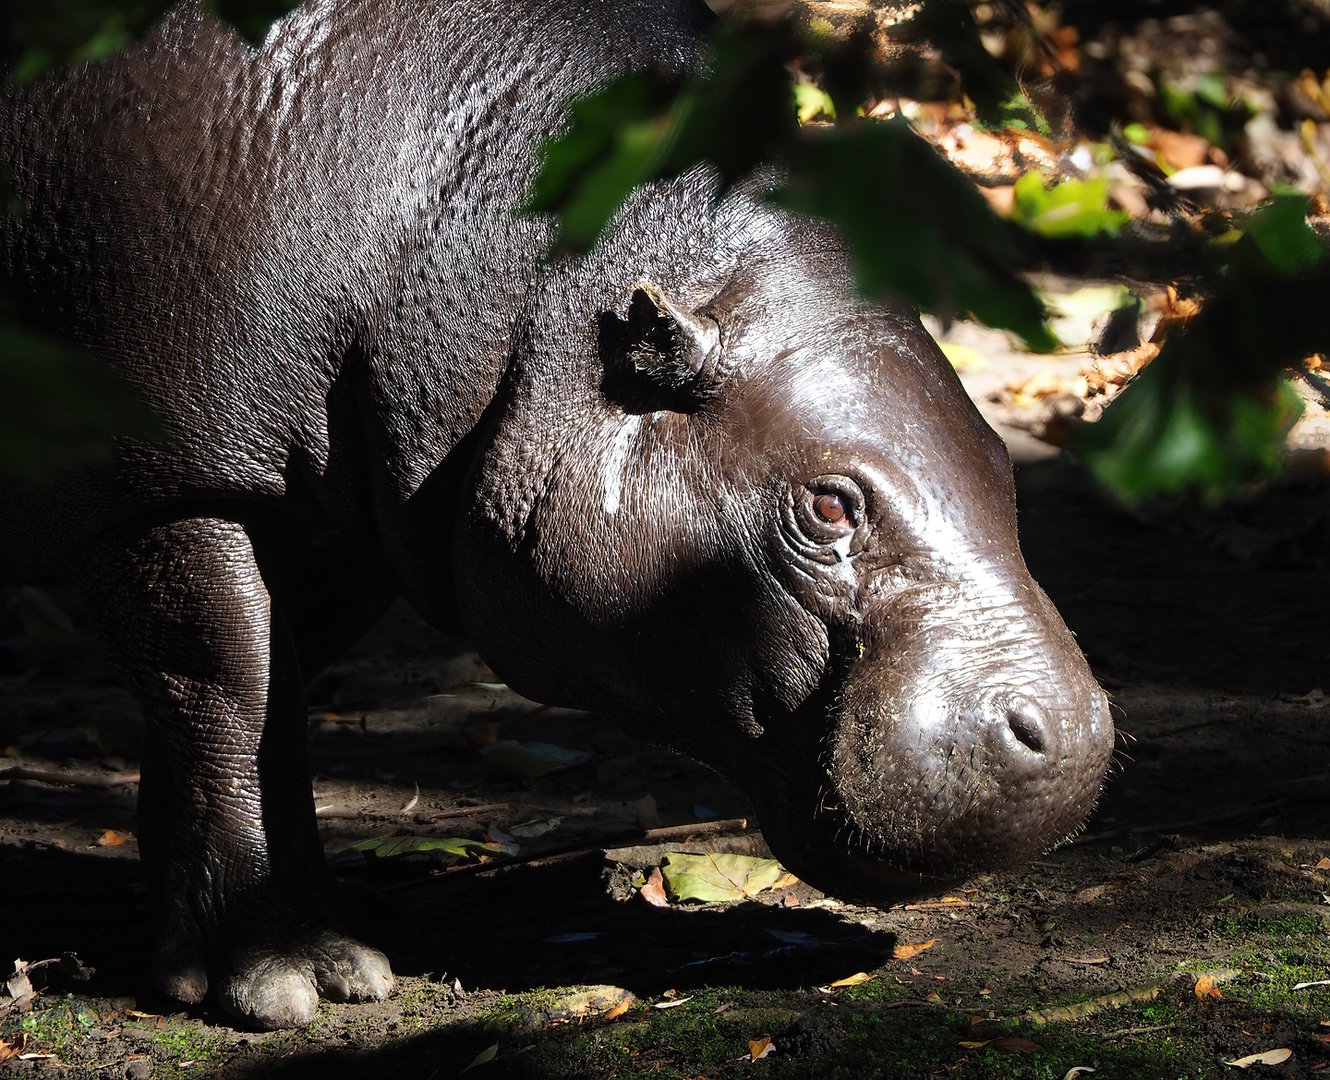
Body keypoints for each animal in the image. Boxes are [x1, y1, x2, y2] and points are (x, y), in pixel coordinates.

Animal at [0, 0, 1114, 1029]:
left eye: (1003, 461)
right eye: (830, 503)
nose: (1074, 740)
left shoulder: (334, 525)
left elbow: (277, 694)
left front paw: (308, 942)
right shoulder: (158, 482)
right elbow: (229, 683)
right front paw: (276, 974)